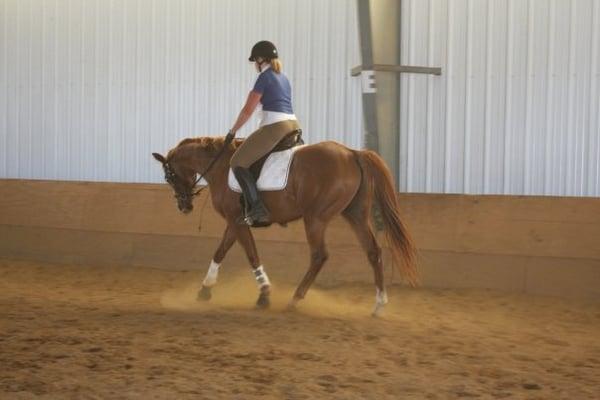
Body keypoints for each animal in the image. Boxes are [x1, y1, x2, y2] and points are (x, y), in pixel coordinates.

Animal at [152, 138, 420, 316]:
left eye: (169, 176)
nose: (184, 206)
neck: (220, 166)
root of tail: (352, 153)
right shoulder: (234, 221)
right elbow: (220, 251)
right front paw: (204, 290)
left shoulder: (236, 221)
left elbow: (251, 255)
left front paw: (264, 295)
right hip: (355, 214)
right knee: (373, 252)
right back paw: (379, 304)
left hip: (315, 218)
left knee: (319, 255)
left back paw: (295, 299)